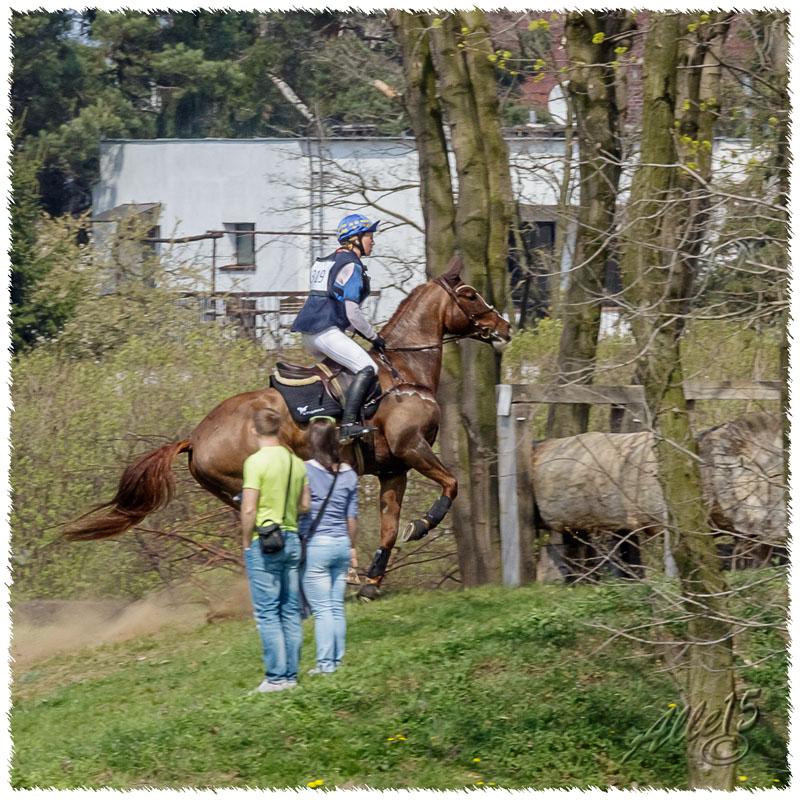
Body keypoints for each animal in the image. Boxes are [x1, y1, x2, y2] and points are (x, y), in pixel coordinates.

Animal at [65, 258, 510, 600]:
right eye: (470, 294)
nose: (505, 327)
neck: (405, 372)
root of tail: (196, 436)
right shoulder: (411, 448)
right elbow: (451, 484)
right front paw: (421, 525)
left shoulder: (392, 469)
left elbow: (387, 531)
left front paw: (371, 583)